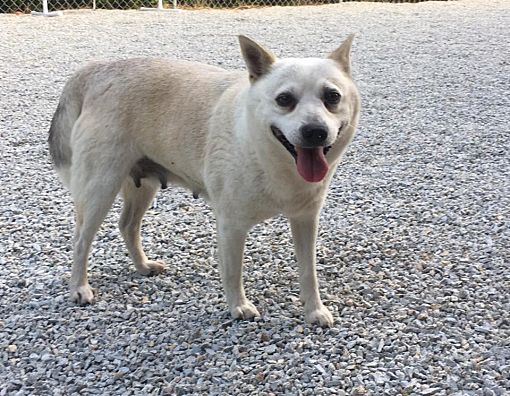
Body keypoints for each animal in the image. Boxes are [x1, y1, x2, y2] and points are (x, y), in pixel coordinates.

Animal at [46, 34, 358, 324]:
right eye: (284, 100)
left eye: (332, 97)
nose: (315, 131)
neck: (270, 156)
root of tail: (98, 69)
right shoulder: (231, 226)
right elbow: (233, 272)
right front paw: (238, 306)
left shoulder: (305, 221)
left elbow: (308, 272)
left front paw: (314, 310)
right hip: (99, 189)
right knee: (81, 240)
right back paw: (79, 287)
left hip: (142, 186)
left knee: (128, 226)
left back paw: (143, 266)